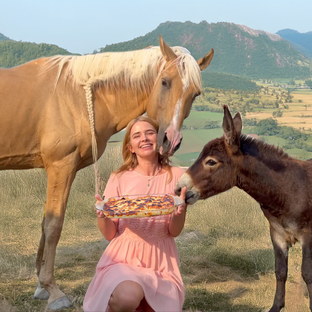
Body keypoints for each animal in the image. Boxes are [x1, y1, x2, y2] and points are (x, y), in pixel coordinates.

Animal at [0, 34, 214, 310]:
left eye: (195, 94)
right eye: (165, 82)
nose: (171, 141)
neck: (76, 96)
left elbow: (45, 223)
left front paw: (41, 286)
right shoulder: (61, 166)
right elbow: (53, 225)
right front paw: (53, 291)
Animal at [176, 105, 312, 312]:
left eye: (211, 161)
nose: (178, 189)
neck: (288, 190)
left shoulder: (308, 235)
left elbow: (307, 273)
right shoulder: (278, 234)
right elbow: (280, 271)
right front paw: (276, 306)